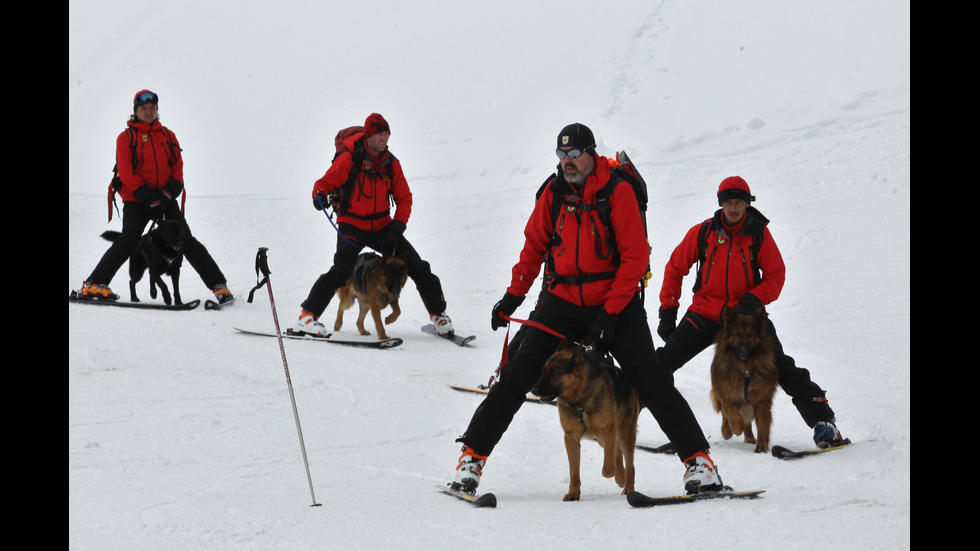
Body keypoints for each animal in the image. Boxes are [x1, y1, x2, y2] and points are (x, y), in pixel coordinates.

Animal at [532, 338, 640, 502]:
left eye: (554, 373)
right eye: (543, 371)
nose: (533, 390)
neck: (580, 399)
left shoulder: (608, 430)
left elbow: (607, 469)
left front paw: (614, 474)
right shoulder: (571, 437)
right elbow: (574, 471)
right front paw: (573, 492)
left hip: (623, 434)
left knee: (629, 463)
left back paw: (627, 486)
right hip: (602, 438)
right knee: (617, 453)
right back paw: (621, 477)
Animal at [712, 308, 780, 454]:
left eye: (751, 335)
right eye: (737, 334)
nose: (743, 349)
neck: (745, 369)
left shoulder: (762, 400)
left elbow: (763, 426)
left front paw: (762, 448)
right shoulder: (728, 395)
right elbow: (734, 416)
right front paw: (735, 429)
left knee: (747, 421)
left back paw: (749, 436)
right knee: (726, 415)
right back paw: (727, 430)